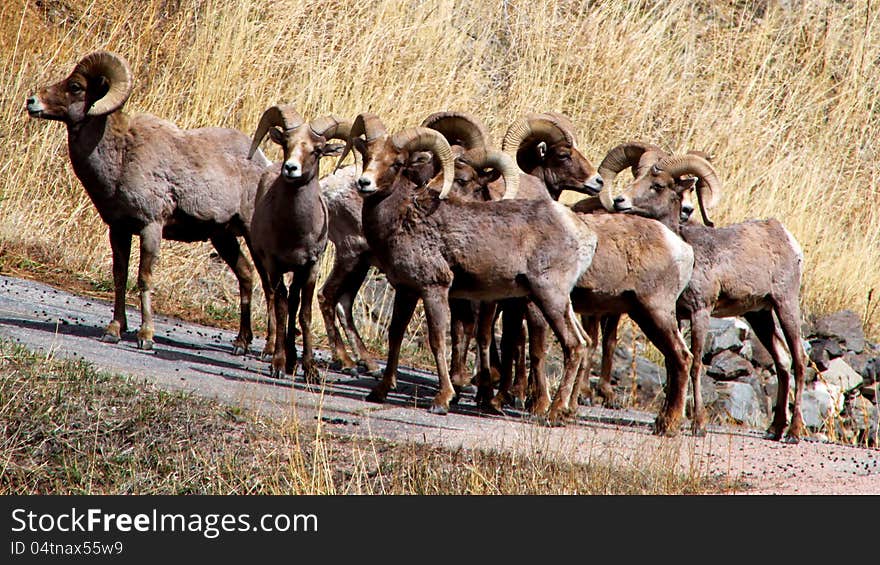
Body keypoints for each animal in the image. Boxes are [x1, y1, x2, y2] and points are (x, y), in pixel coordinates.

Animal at [27, 53, 268, 352]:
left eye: (75, 86)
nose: (32, 101)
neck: (121, 158)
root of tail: (264, 163)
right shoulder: (118, 229)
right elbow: (120, 277)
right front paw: (113, 330)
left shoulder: (151, 227)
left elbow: (144, 278)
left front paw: (146, 336)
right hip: (222, 237)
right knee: (246, 275)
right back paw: (241, 343)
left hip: (251, 236)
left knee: (271, 289)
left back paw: (268, 353)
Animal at [248, 106, 350, 378]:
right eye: (286, 143)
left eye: (317, 150)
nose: (290, 168)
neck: (295, 232)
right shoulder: (274, 265)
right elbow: (281, 308)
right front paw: (278, 364)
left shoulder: (311, 266)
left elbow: (304, 313)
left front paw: (310, 370)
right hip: (262, 264)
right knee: (273, 298)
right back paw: (276, 353)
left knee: (294, 302)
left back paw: (294, 360)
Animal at [344, 113, 600, 418]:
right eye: (368, 155)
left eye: (396, 163)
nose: (364, 183)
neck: (404, 217)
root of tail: (582, 233)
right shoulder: (406, 291)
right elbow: (395, 336)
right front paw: (380, 391)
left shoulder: (435, 289)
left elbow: (438, 339)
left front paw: (443, 399)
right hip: (561, 301)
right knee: (584, 343)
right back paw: (564, 409)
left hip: (548, 296)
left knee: (573, 345)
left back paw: (552, 411)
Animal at [608, 150, 808, 440]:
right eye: (636, 176)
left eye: (658, 186)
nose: (619, 201)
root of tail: (785, 235)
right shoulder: (676, 315)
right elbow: (672, 364)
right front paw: (664, 420)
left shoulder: (700, 312)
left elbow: (695, 365)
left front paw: (698, 425)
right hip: (760, 315)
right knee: (782, 360)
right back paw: (775, 428)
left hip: (785, 305)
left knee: (799, 360)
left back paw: (793, 432)